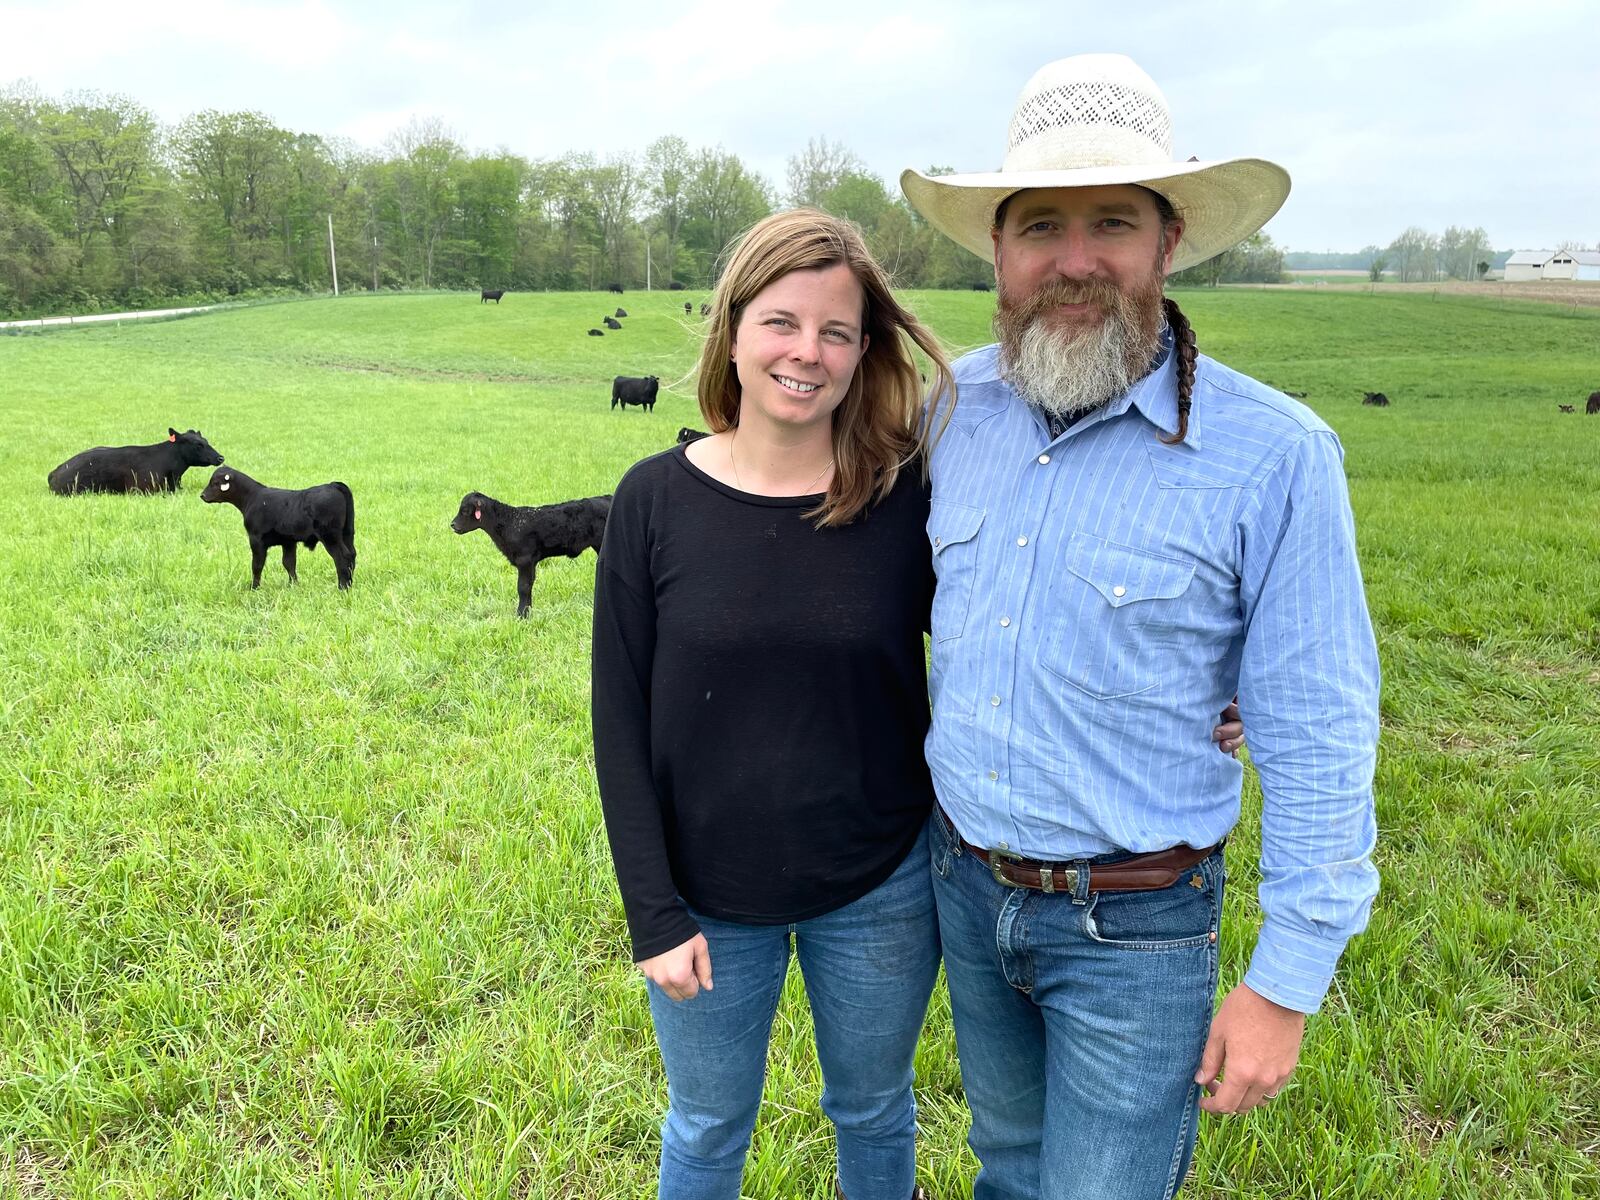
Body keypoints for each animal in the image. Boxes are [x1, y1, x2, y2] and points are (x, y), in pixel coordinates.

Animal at [203, 467, 356, 588]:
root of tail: (332, 485)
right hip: (347, 534)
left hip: (330, 536)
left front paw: (254, 588)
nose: (202, 495)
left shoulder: (256, 540)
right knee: (352, 554)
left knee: (342, 556)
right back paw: (349, 583)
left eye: (215, 483)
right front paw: (293, 585)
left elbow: (257, 565)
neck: (252, 498)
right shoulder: (288, 542)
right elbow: (289, 563)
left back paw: (342, 587)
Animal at [457, 489, 617, 620]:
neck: (510, 523)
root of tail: (606, 497)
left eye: (464, 510)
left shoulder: (525, 560)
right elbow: (529, 586)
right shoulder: (530, 563)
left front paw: (521, 615)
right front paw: (527, 611)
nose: (453, 524)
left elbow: (523, 587)